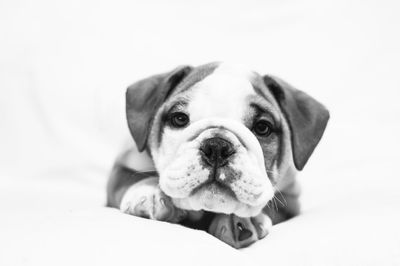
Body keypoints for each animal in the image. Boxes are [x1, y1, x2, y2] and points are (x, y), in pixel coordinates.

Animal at [106, 61, 328, 248]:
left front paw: (242, 219)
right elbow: (125, 178)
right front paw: (148, 192)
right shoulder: (124, 162)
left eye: (263, 127)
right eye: (179, 118)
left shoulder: (291, 200)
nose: (217, 147)